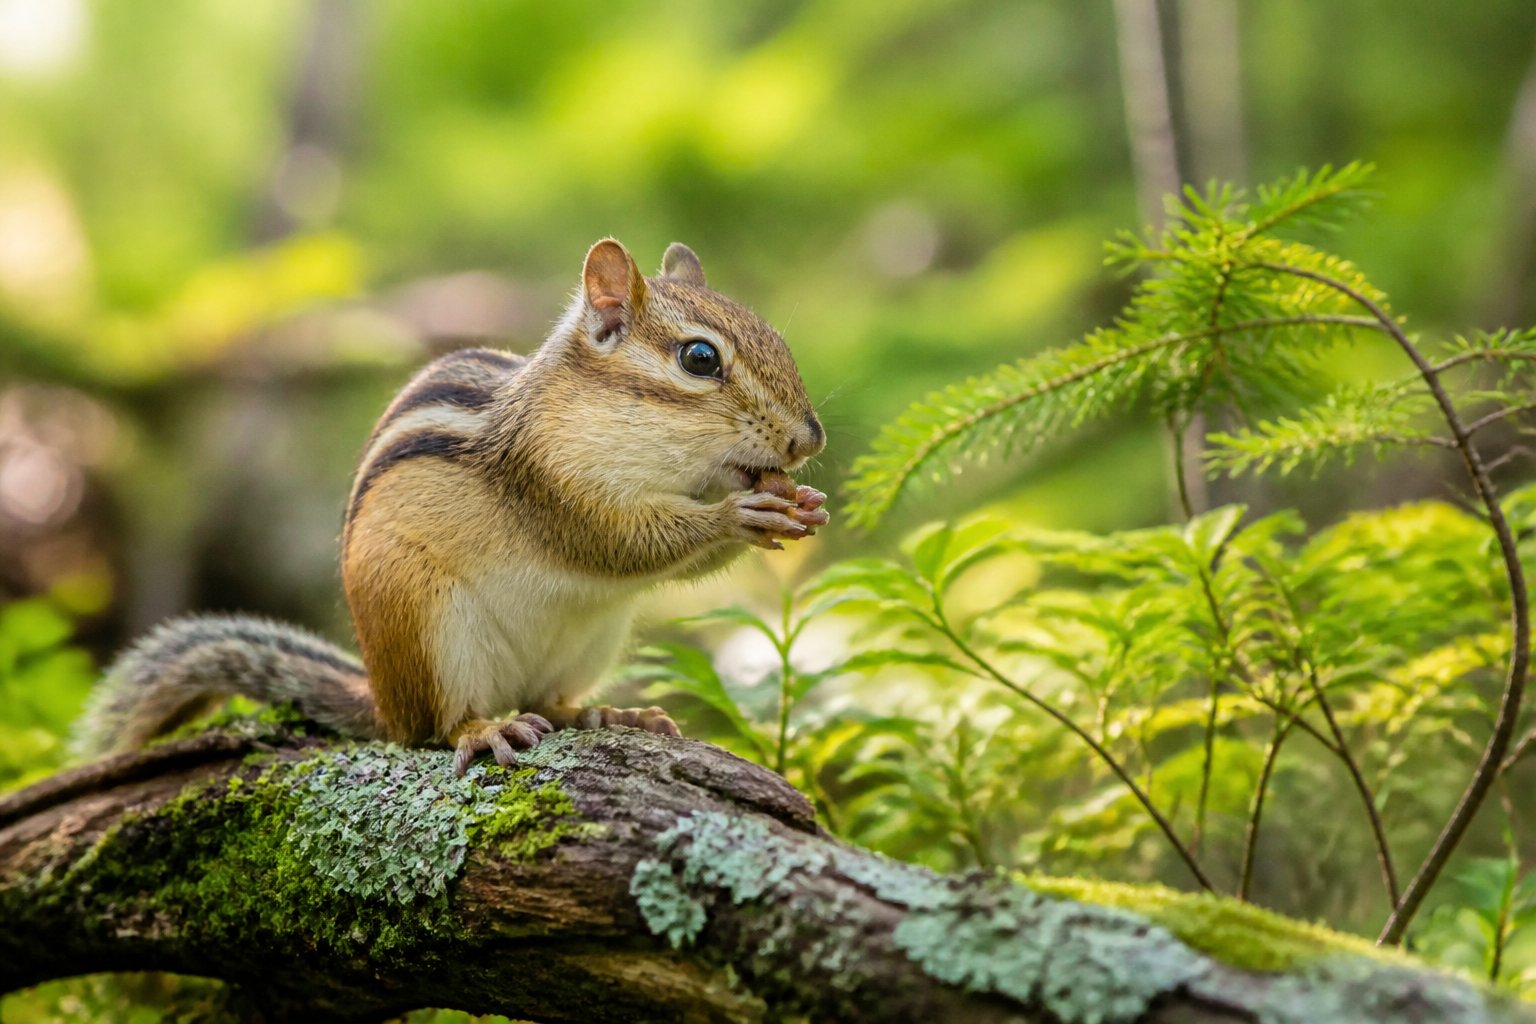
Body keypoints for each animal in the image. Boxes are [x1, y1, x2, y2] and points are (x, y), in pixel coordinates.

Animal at [76, 239, 828, 775]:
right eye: (700, 358)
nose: (809, 439)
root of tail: (382, 698)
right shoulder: (551, 484)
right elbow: (623, 542)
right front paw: (734, 516)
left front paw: (806, 505)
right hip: (425, 621)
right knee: (439, 727)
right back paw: (486, 727)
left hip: (591, 640)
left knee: (548, 700)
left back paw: (607, 716)